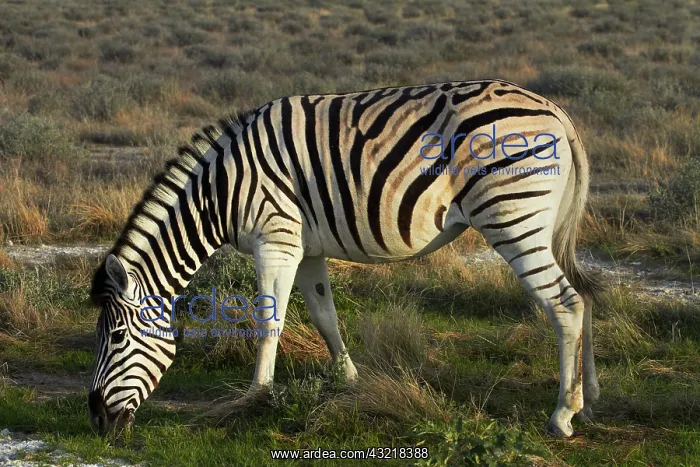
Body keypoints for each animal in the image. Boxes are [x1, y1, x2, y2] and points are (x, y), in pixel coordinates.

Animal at [88, 79, 603, 438]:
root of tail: (557, 112)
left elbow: (268, 324)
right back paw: (588, 395)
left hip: (512, 216)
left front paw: (255, 399)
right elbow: (325, 317)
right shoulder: (306, 249)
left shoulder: (276, 239)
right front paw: (349, 382)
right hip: (544, 223)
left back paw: (562, 415)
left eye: (116, 337)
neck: (220, 193)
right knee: (584, 296)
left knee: (565, 304)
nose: (95, 420)